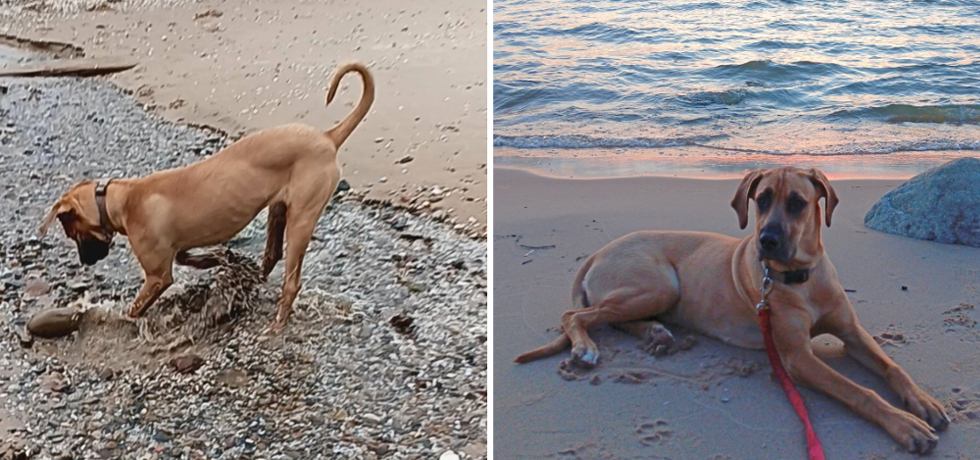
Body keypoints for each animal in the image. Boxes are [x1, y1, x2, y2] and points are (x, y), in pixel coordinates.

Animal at [39, 63, 376, 330]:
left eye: (72, 233)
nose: (85, 262)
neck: (120, 200)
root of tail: (327, 137)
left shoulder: (158, 276)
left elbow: (136, 308)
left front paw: (122, 318)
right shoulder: (177, 248)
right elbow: (192, 257)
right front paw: (218, 259)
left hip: (302, 219)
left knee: (291, 281)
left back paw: (277, 323)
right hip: (280, 210)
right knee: (271, 255)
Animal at [516, 166, 952, 452]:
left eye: (798, 203)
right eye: (761, 200)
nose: (767, 240)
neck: (800, 277)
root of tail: (598, 251)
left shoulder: (852, 333)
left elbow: (891, 368)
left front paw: (924, 402)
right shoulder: (797, 358)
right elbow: (858, 390)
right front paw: (903, 424)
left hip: (655, 292)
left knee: (613, 317)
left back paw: (656, 334)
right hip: (659, 284)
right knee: (576, 316)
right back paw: (586, 347)